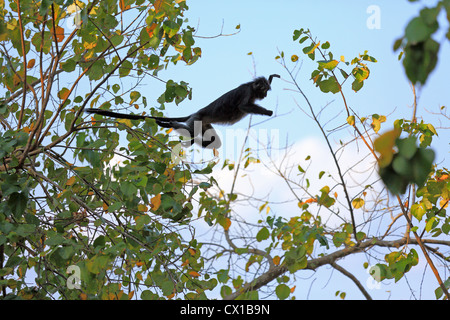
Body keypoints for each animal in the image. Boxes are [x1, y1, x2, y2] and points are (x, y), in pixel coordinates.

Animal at [85, 74, 280, 149]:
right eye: (264, 90)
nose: (265, 95)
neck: (252, 89)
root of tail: (197, 112)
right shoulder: (246, 92)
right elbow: (243, 107)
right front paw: (269, 112)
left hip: (204, 123)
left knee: (211, 142)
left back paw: (192, 141)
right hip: (196, 119)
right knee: (192, 131)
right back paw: (171, 124)